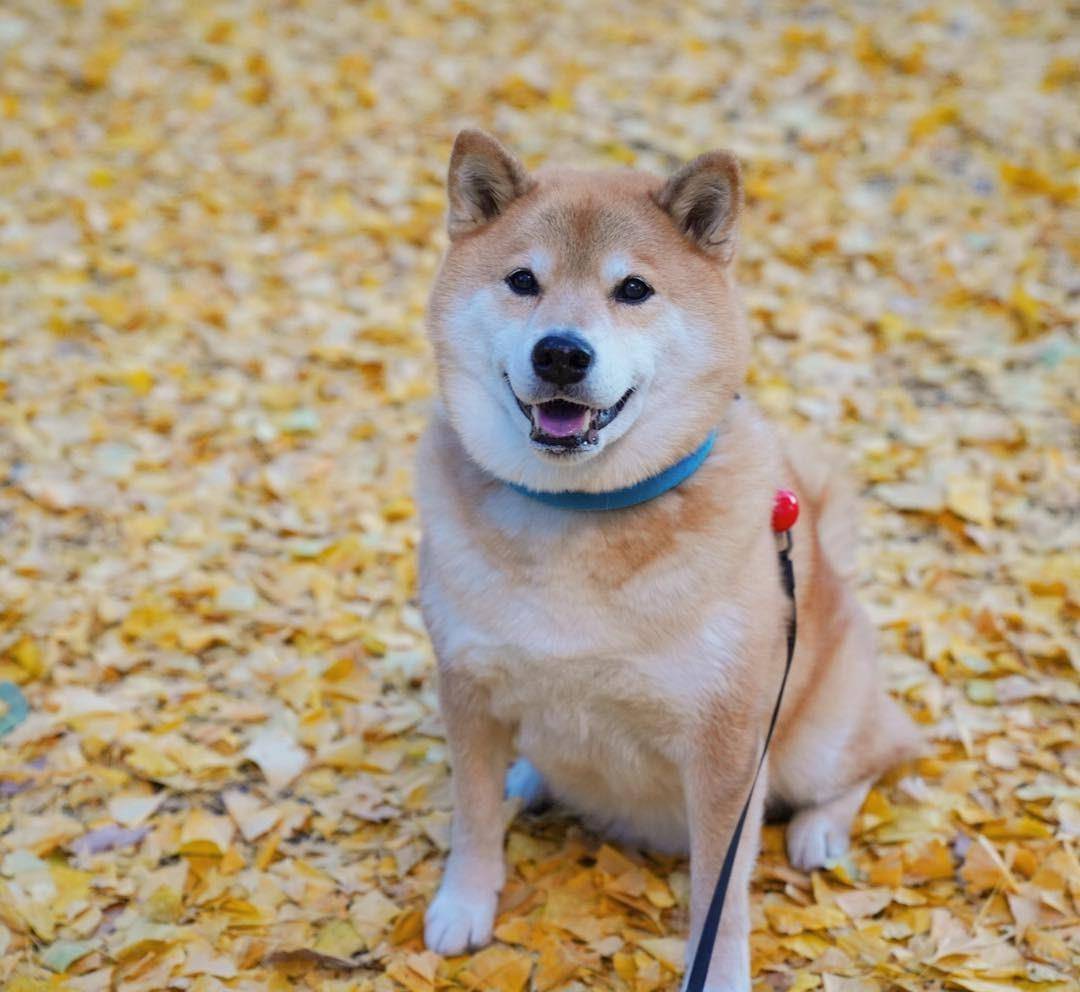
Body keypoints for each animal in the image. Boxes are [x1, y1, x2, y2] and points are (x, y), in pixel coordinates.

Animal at [414, 131, 920, 992]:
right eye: (523, 281)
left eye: (633, 290)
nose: (561, 353)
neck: (579, 515)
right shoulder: (469, 688)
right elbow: (472, 815)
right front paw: (466, 903)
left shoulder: (726, 749)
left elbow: (723, 891)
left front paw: (718, 975)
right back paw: (529, 776)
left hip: (818, 737)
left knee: (875, 757)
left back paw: (820, 830)